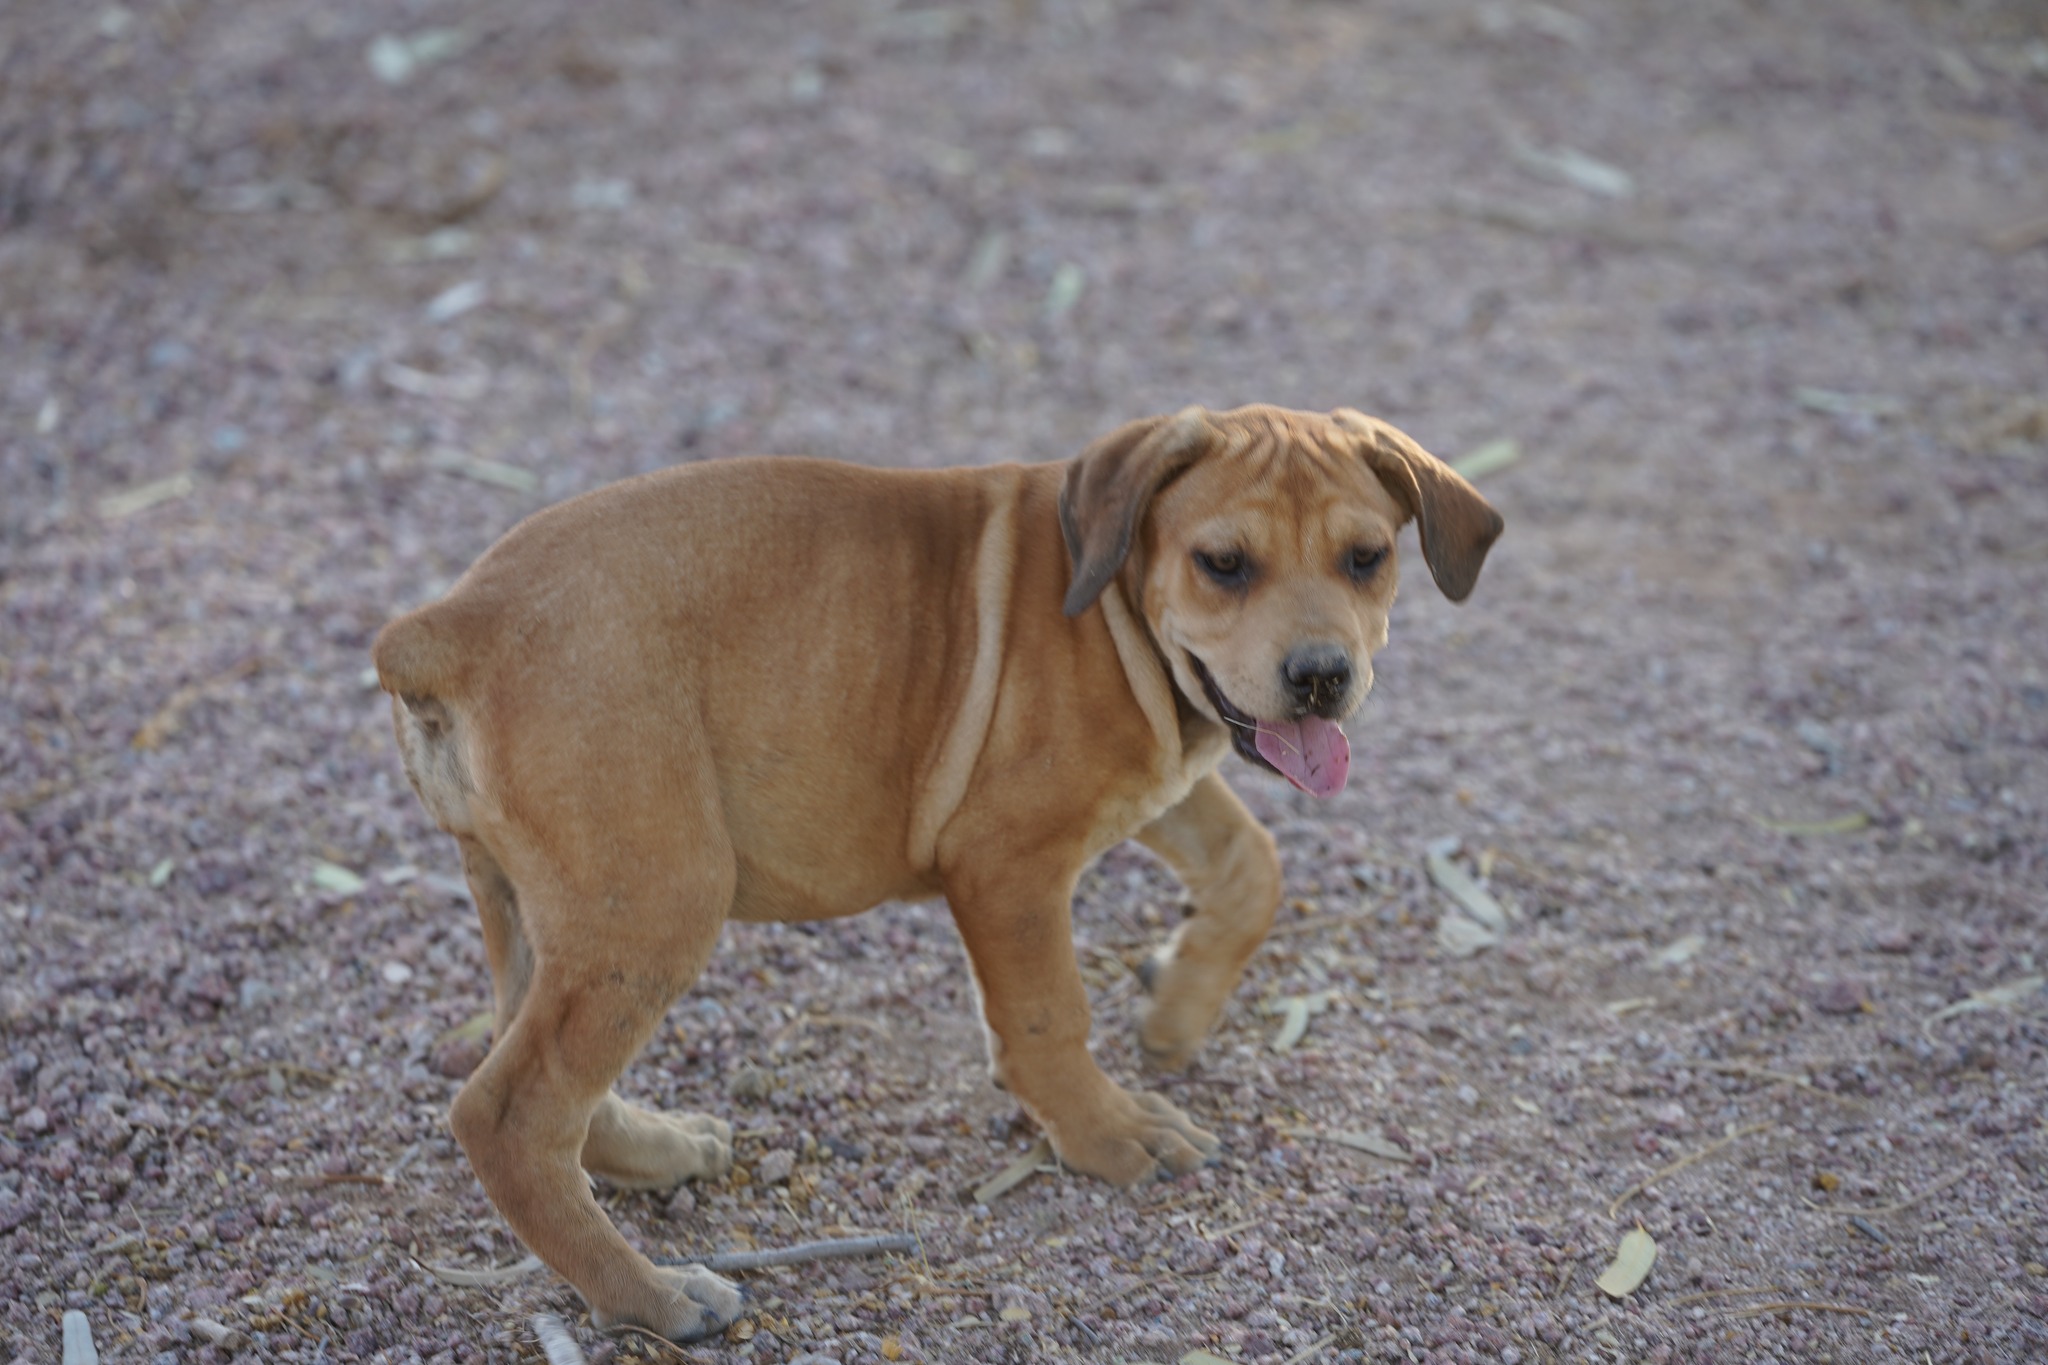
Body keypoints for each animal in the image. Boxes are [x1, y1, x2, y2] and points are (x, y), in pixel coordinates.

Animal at [372, 401, 1490, 1342]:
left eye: (1365, 557)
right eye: (1223, 563)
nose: (1320, 677)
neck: (1112, 605)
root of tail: (450, 624)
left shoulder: (1164, 783)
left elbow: (1250, 866)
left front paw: (1174, 1009)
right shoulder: (1008, 864)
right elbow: (1045, 1015)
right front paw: (1107, 1130)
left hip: (544, 902)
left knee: (546, 1081)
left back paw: (658, 1154)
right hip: (656, 898)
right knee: (507, 1113)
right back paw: (653, 1296)